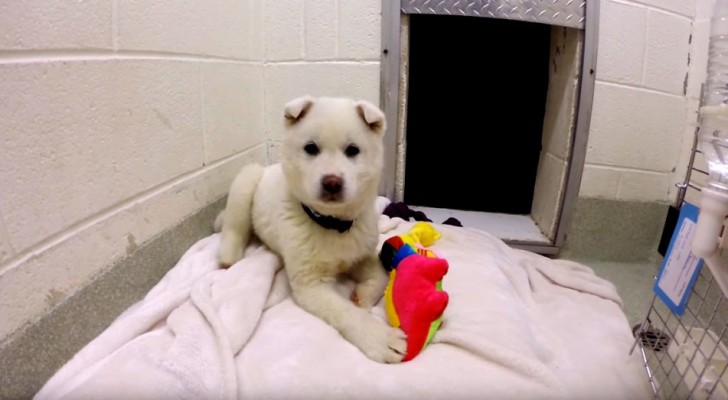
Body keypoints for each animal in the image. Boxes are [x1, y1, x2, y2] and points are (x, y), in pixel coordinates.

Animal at [216, 94, 410, 362]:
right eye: (311, 148)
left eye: (352, 150)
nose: (332, 183)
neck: (333, 224)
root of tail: (266, 168)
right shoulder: (310, 285)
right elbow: (345, 312)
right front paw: (379, 338)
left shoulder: (360, 255)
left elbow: (381, 275)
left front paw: (363, 296)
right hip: (246, 181)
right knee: (234, 226)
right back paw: (229, 256)